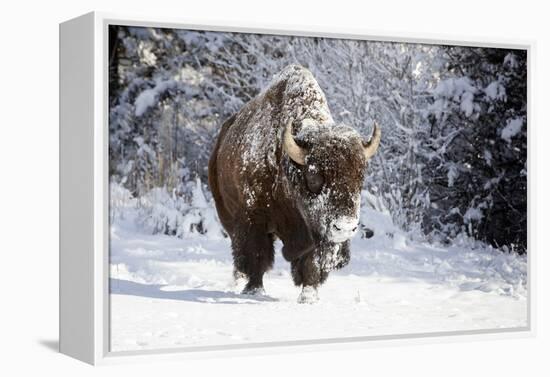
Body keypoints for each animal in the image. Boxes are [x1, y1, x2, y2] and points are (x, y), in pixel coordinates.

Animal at [209, 63, 382, 302]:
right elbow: (256, 255)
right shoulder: (253, 219)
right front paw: (254, 291)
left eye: (360, 176)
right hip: (227, 215)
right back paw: (237, 283)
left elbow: (312, 263)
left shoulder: (314, 233)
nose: (345, 227)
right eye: (314, 175)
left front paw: (308, 296)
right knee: (239, 253)